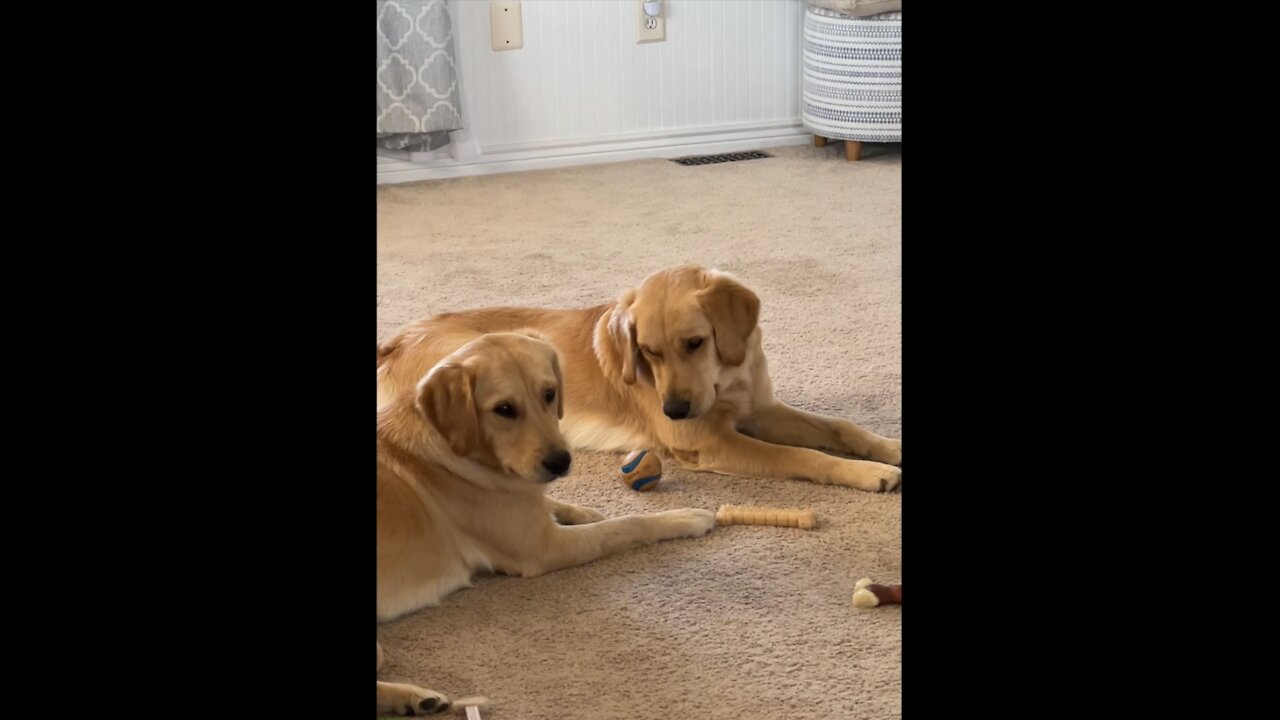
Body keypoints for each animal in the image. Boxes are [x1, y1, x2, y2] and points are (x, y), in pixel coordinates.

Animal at [373, 263, 906, 491]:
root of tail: (395, 341)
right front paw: (867, 473)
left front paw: (887, 448)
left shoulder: (761, 410)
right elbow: (801, 455)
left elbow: (840, 427)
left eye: (694, 343)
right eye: (647, 352)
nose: (673, 409)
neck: (726, 380)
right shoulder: (707, 440)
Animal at [376, 330, 721, 712]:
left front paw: (580, 510)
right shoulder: (544, 548)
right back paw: (414, 696)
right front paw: (685, 516)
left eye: (549, 393)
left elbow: (556, 504)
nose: (561, 461)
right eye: (504, 409)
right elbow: (624, 525)